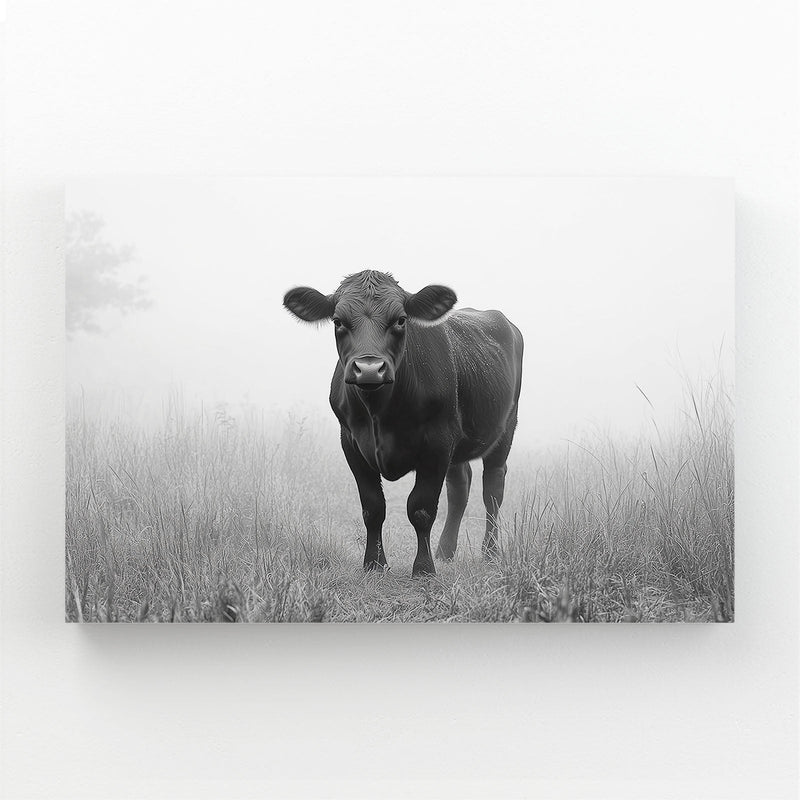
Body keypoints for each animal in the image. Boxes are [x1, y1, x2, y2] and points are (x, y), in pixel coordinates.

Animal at [283, 270, 523, 577]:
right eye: (338, 321)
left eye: (400, 319)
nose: (369, 369)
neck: (380, 412)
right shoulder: (350, 442)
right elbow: (373, 507)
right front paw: (374, 564)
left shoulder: (437, 443)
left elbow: (421, 508)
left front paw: (423, 568)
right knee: (459, 488)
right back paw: (445, 551)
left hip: (505, 428)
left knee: (492, 489)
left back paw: (490, 552)